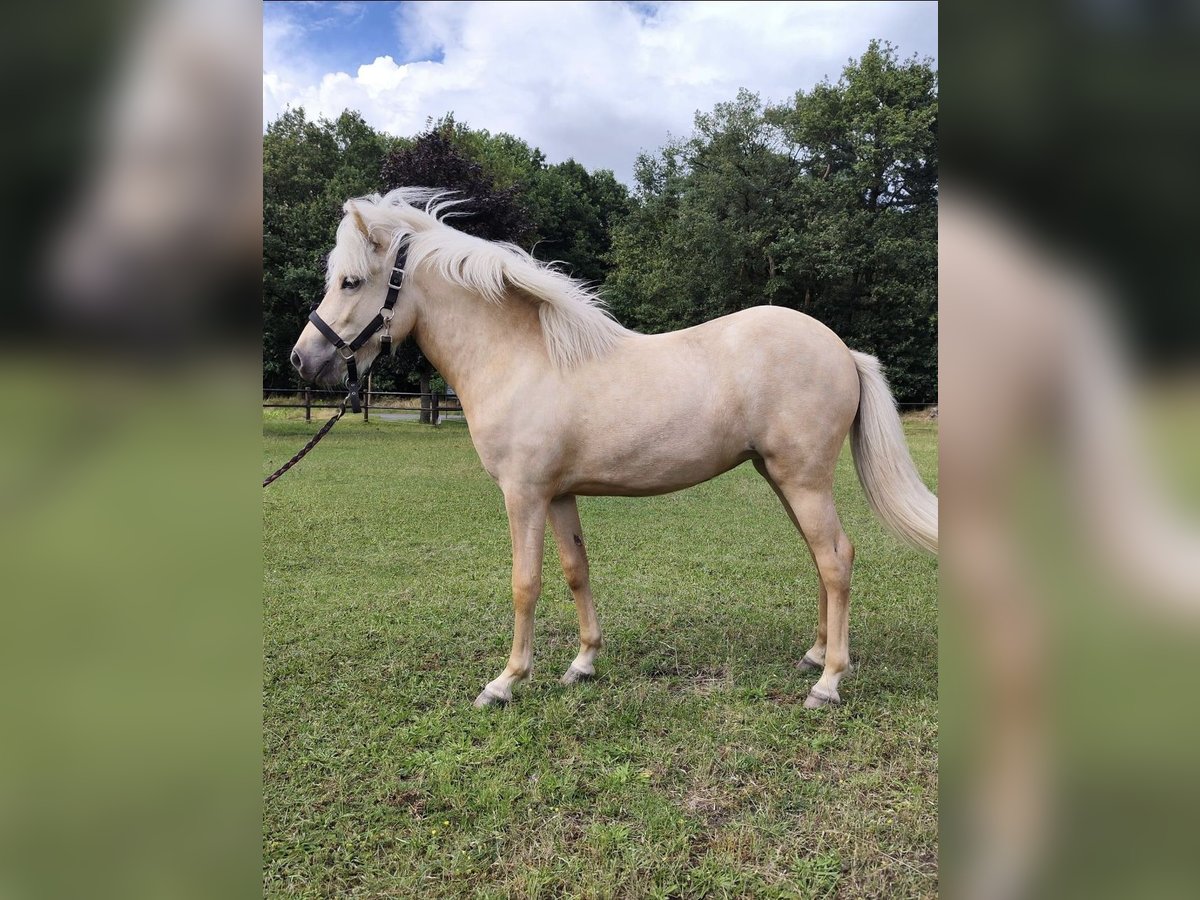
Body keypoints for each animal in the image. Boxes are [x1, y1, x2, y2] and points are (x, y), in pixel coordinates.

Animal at [290, 188, 936, 710]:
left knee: (836, 558)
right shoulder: (558, 495)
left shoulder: (523, 495)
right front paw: (583, 664)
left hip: (803, 479)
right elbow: (576, 571)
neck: (522, 357)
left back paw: (827, 683)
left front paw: (505, 682)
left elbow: (526, 583)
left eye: (350, 282)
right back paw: (814, 656)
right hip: (782, 478)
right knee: (820, 559)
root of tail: (843, 349)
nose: (303, 360)